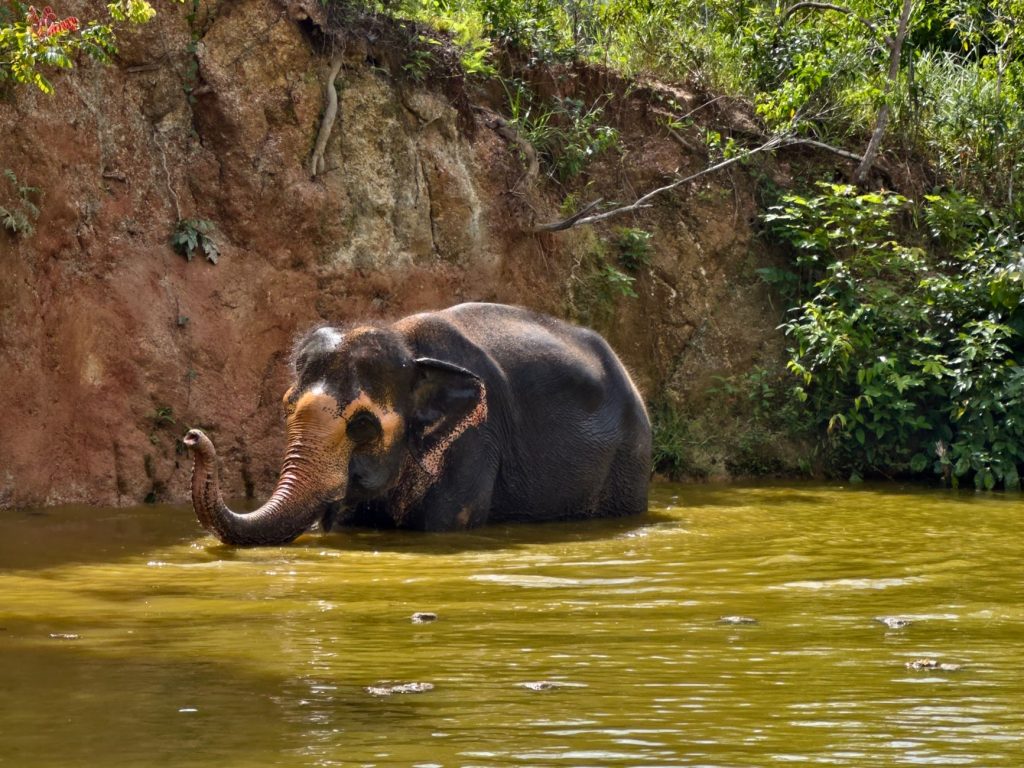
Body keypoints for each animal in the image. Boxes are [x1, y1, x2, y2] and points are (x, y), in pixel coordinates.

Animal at [183, 302, 652, 545]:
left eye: (363, 426)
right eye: (285, 408)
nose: (191, 436)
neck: (408, 348)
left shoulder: (476, 443)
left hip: (628, 460)